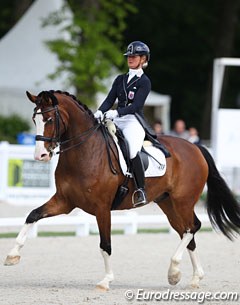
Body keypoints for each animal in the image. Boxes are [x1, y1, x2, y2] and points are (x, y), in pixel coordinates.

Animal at [4, 89, 240, 288]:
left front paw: (106, 281)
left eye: (50, 119)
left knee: (192, 228)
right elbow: (32, 215)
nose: (40, 156)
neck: (85, 152)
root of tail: (196, 147)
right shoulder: (65, 202)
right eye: (34, 119)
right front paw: (12, 255)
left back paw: (174, 271)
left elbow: (105, 244)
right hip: (168, 203)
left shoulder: (102, 208)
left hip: (183, 201)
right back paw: (193, 277)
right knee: (186, 231)